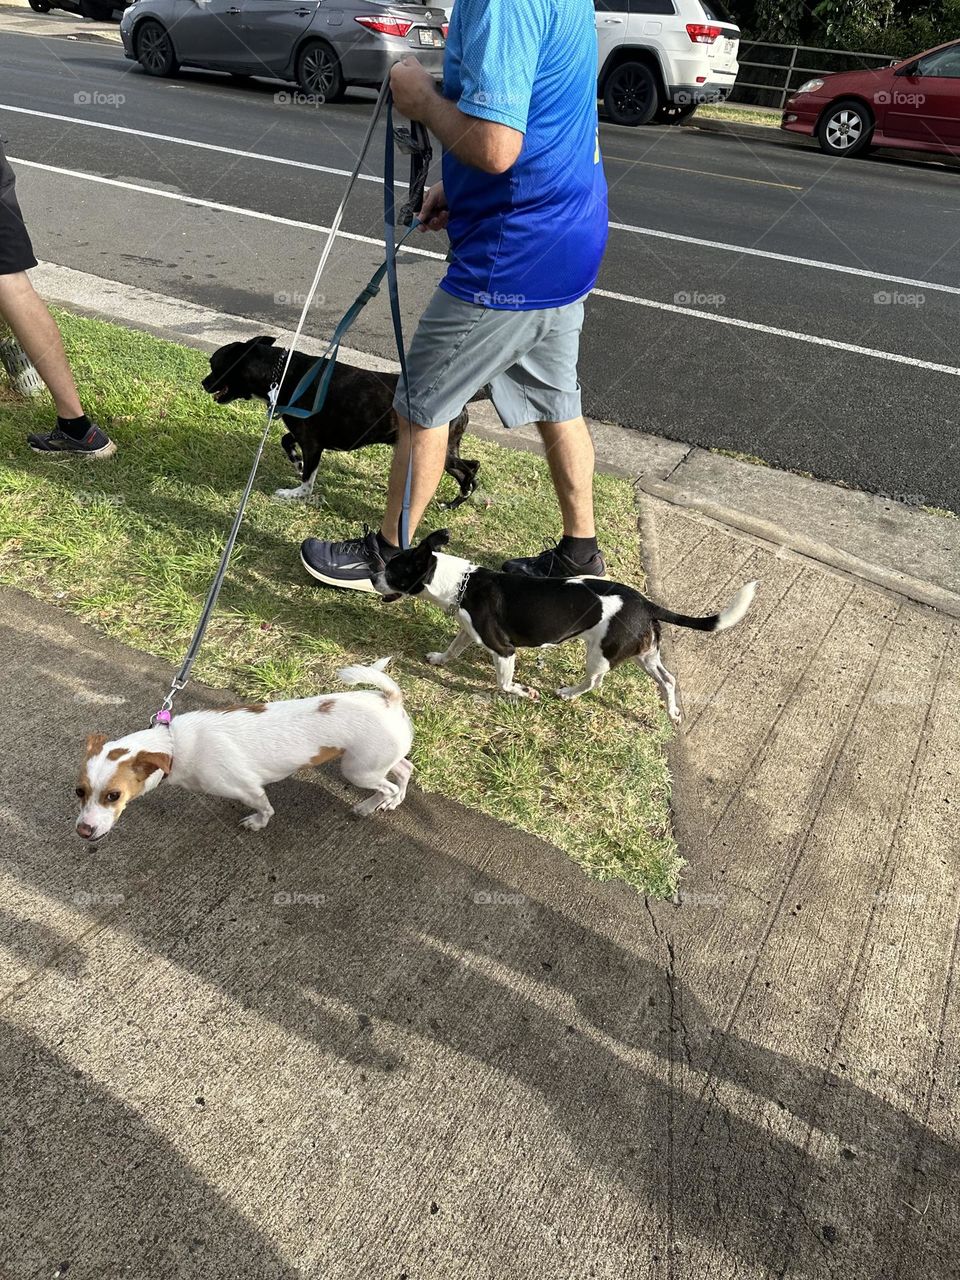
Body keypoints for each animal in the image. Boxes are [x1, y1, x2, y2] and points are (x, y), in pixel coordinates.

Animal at [75, 660, 414, 839]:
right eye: (79, 791)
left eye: (113, 795)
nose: (83, 831)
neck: (174, 745)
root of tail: (390, 699)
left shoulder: (247, 788)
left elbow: (265, 808)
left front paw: (257, 823)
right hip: (374, 762)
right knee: (404, 769)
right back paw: (394, 800)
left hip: (357, 770)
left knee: (384, 784)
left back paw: (368, 806)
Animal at [204, 337, 481, 512]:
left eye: (213, 364)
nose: (203, 383)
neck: (282, 374)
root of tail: (460, 403)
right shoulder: (307, 434)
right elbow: (286, 441)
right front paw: (297, 462)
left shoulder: (313, 443)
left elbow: (307, 482)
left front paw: (295, 493)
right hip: (444, 452)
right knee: (469, 469)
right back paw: (453, 503)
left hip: (438, 453)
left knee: (471, 469)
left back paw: (462, 494)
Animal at [371, 529, 757, 727]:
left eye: (392, 571)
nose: (372, 577)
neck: (463, 583)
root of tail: (646, 603)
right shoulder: (469, 631)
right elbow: (454, 647)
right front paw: (439, 659)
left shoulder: (504, 650)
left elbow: (504, 683)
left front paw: (525, 692)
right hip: (645, 654)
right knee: (669, 680)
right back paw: (673, 711)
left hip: (600, 654)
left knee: (594, 682)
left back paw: (568, 693)